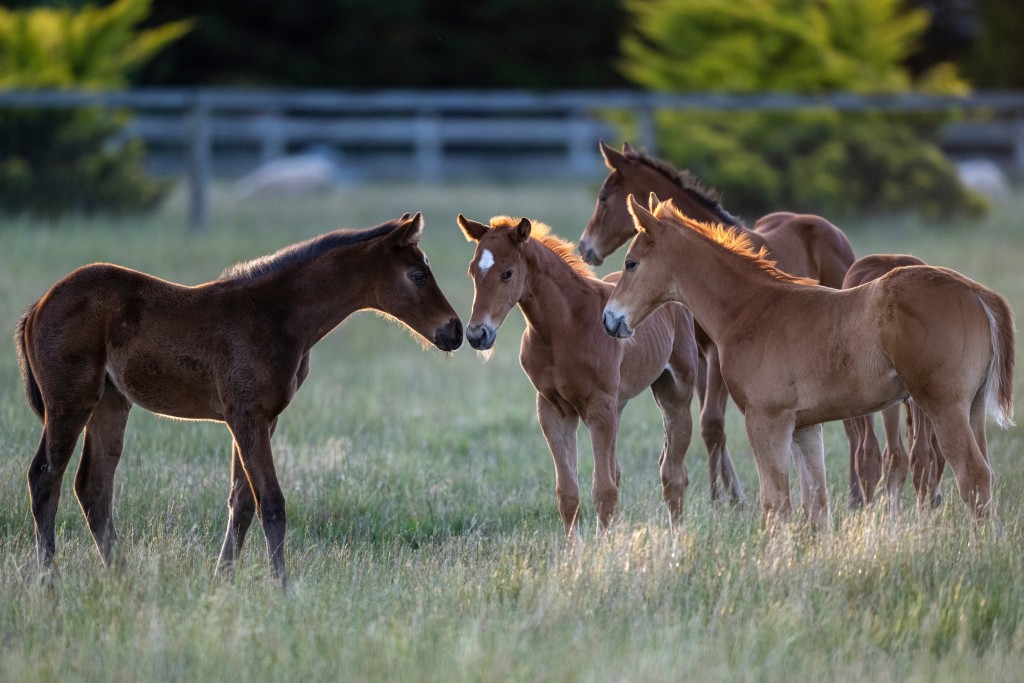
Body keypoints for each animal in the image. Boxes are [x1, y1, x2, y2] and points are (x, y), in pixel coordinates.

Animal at [15, 213, 463, 585]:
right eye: (418, 275)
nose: (455, 330)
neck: (276, 315)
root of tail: (39, 305)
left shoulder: (263, 418)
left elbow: (243, 503)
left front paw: (223, 581)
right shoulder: (246, 414)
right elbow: (272, 503)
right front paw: (282, 588)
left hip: (111, 402)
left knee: (93, 486)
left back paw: (122, 576)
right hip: (70, 401)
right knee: (45, 476)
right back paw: (49, 580)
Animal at [457, 214, 698, 538]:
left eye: (507, 273)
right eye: (472, 271)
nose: (477, 334)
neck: (563, 328)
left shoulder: (598, 408)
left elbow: (604, 490)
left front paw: (604, 550)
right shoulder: (553, 409)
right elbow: (569, 494)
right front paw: (576, 550)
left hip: (674, 394)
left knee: (673, 474)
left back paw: (677, 540)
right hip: (617, 405)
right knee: (623, 471)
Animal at [578, 142, 865, 507]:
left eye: (603, 198)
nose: (585, 247)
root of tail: (828, 227)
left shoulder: (716, 353)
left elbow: (712, 423)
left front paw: (721, 497)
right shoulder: (702, 354)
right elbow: (710, 426)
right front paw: (728, 493)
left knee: (853, 423)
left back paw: (857, 493)